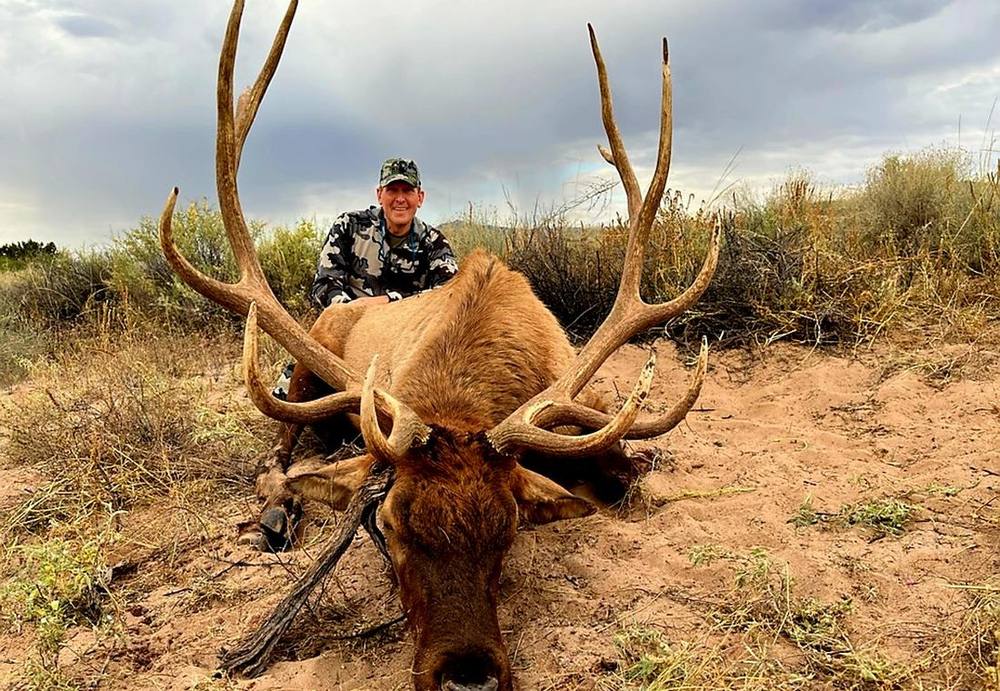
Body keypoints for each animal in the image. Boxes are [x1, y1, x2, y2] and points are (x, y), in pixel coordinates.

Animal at [157, 1, 720, 689]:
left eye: (509, 528)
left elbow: (626, 474)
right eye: (388, 525)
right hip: (308, 371)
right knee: (280, 457)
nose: (468, 672)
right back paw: (275, 511)